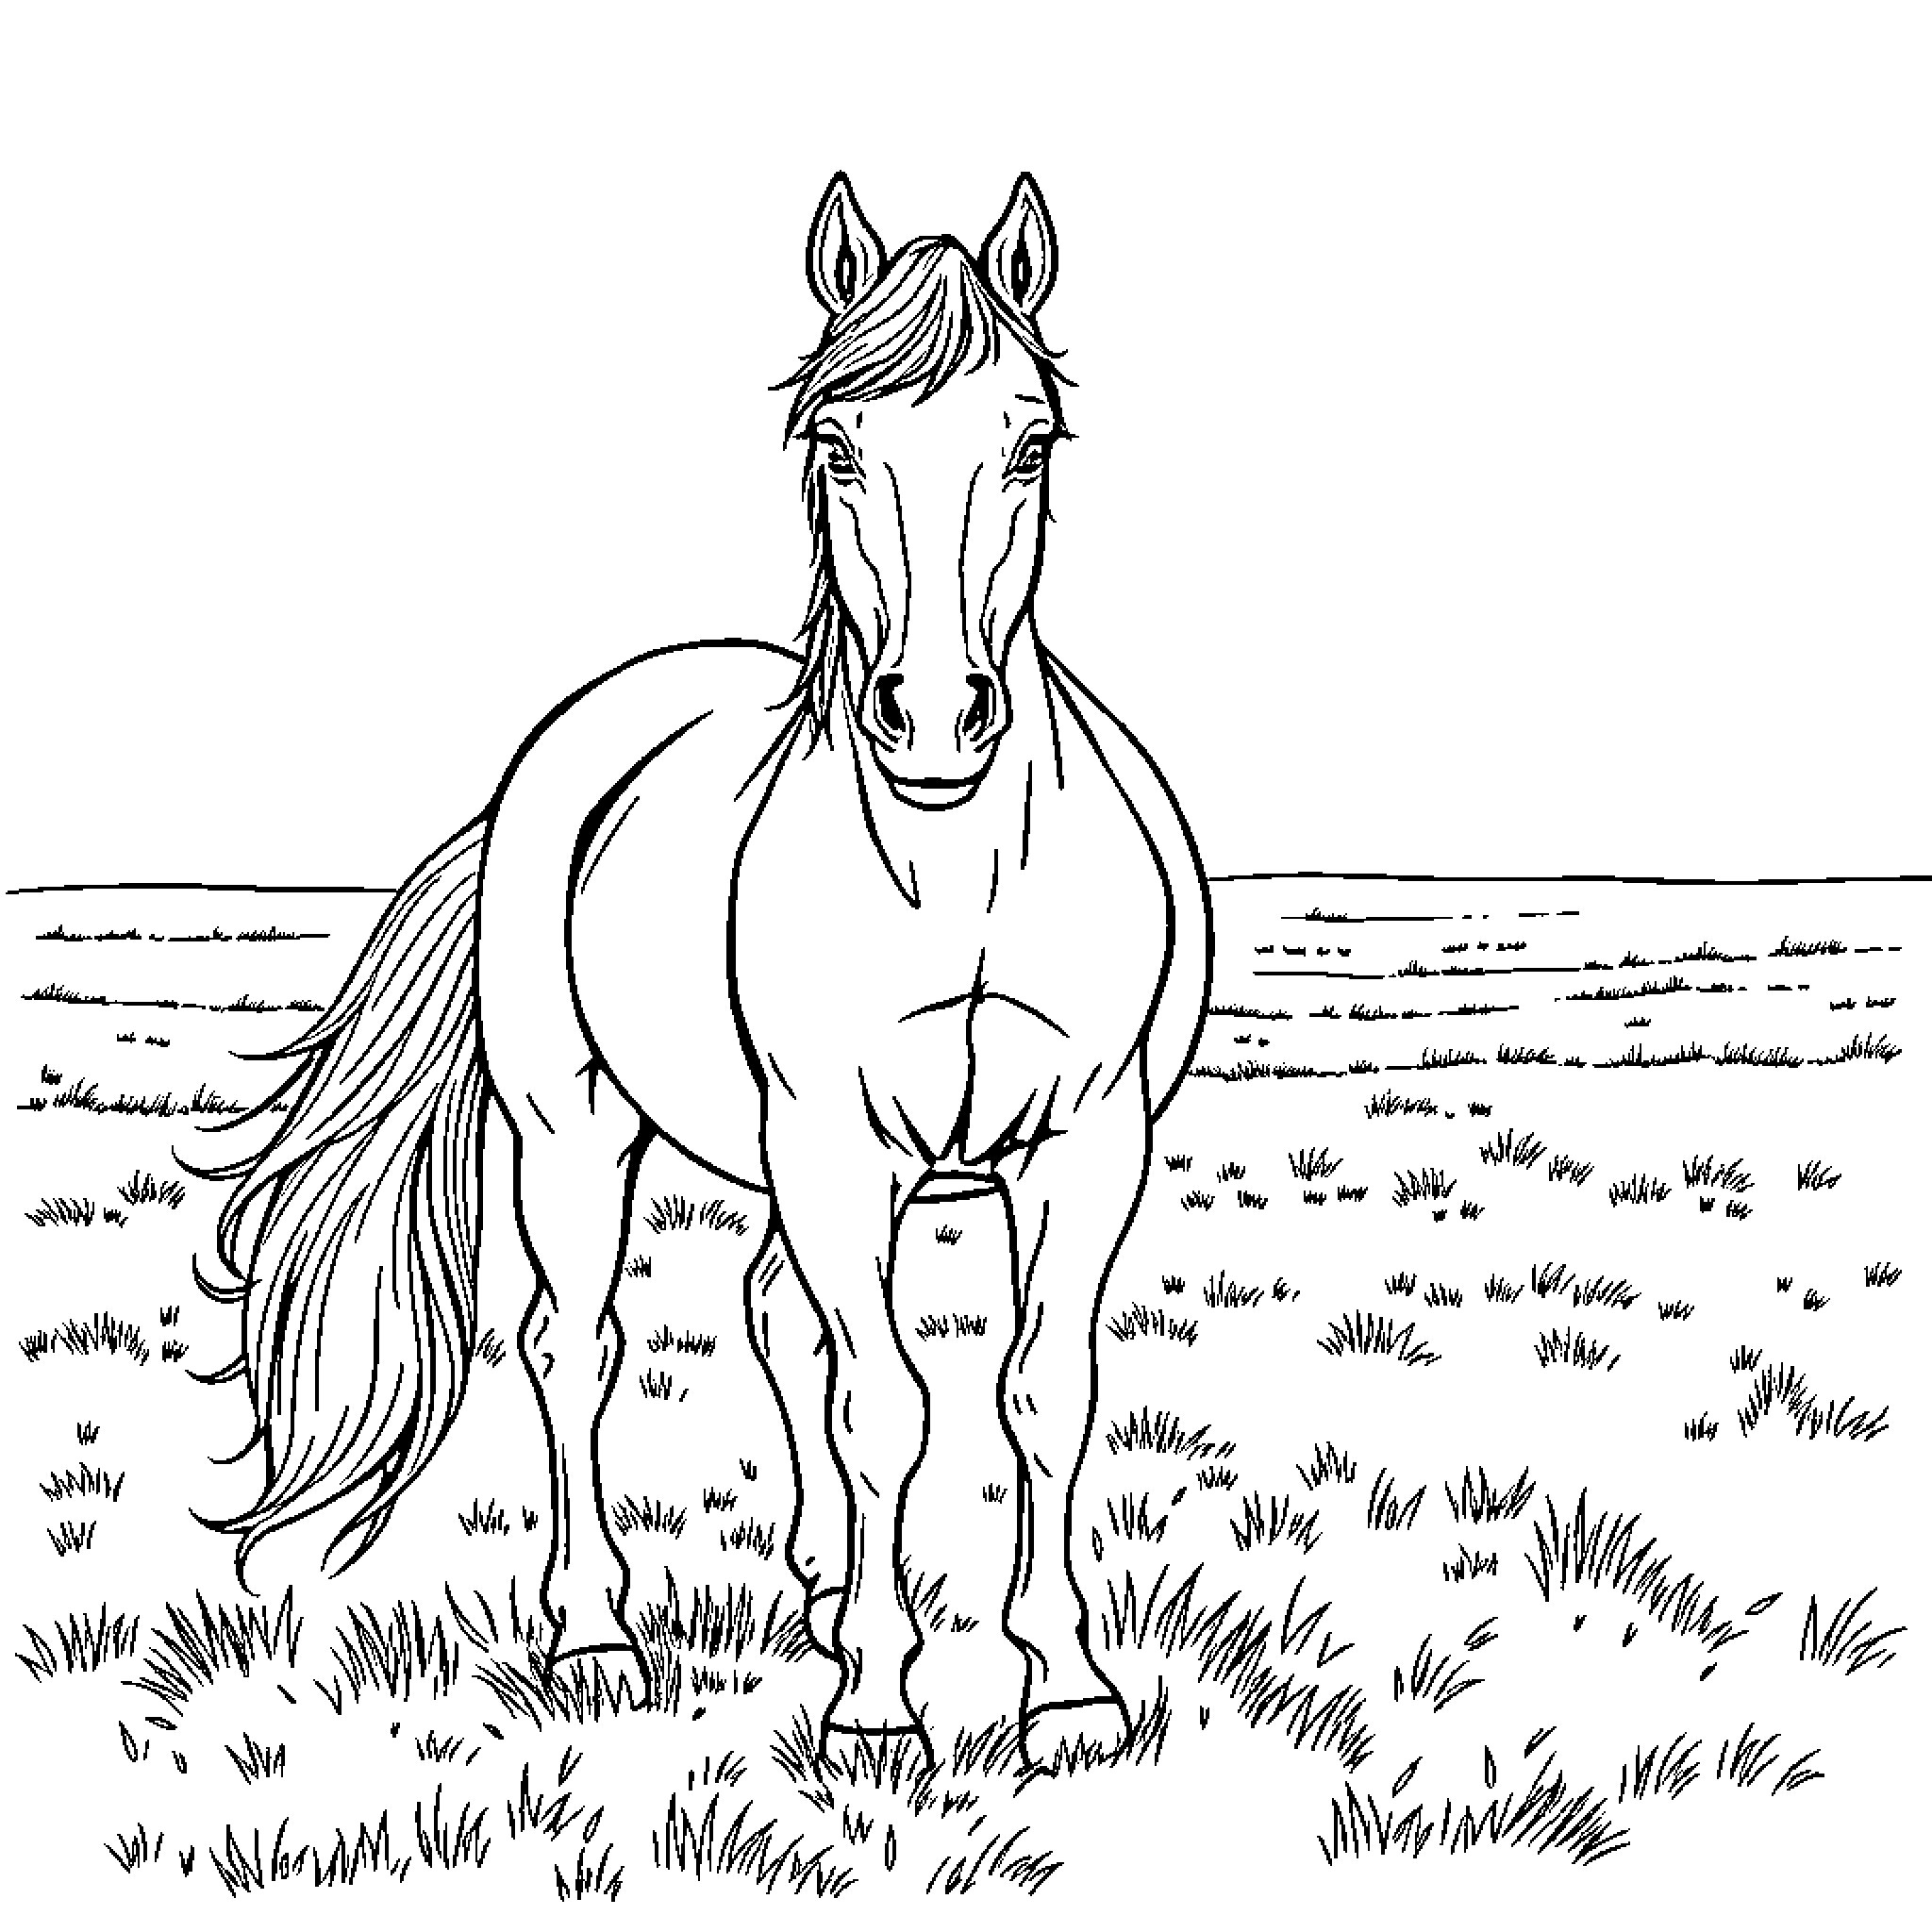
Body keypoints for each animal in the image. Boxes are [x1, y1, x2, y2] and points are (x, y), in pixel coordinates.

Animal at [198, 172, 1213, 1769]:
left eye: (1030, 441)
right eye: (834, 441)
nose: (935, 721)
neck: (959, 873)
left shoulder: (1090, 1141)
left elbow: (1044, 1395)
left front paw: (1064, 1690)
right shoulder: (833, 1144)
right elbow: (887, 1406)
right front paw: (878, 1699)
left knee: (774, 1320)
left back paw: (815, 1586)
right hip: (578, 1131)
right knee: (579, 1348)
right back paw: (598, 1631)